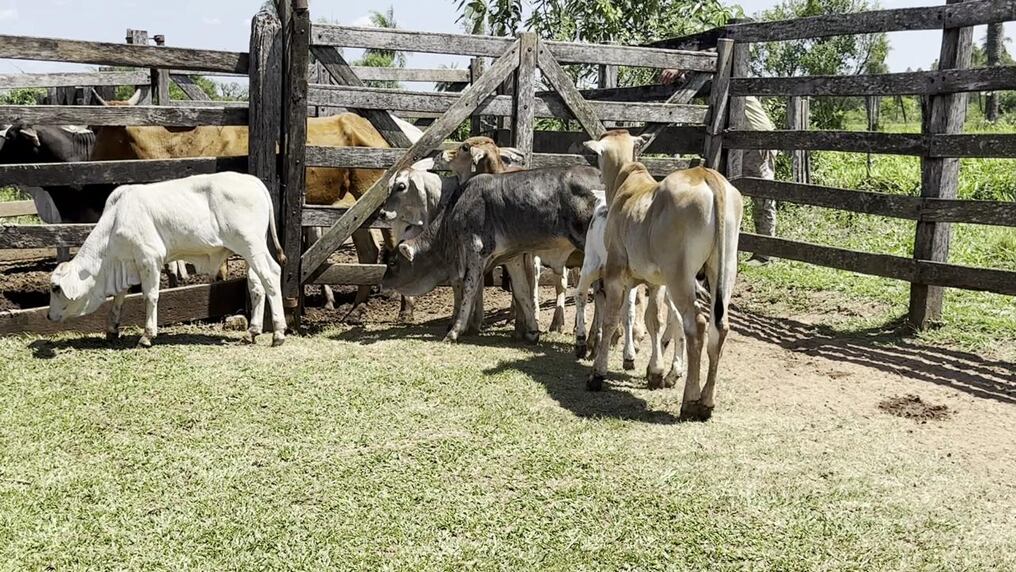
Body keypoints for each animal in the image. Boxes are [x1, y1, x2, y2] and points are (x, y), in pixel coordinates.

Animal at [46, 171, 286, 349]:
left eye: (56, 288)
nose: (48, 316)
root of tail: (254, 182)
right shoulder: (129, 263)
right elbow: (119, 297)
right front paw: (112, 329)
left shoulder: (150, 258)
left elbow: (150, 296)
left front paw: (147, 335)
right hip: (251, 251)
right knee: (257, 286)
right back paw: (252, 332)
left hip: (251, 245)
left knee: (271, 276)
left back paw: (279, 332)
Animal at [384, 165, 597, 345]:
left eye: (393, 262)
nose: (382, 285)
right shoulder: (512, 258)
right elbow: (522, 292)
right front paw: (532, 332)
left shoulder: (477, 250)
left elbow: (469, 290)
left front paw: (454, 331)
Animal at [585, 131, 743, 424]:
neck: (628, 182)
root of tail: (709, 176)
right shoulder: (657, 281)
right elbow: (654, 320)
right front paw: (655, 372)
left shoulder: (615, 272)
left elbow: (613, 319)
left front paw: (597, 374)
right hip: (724, 269)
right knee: (719, 326)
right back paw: (707, 401)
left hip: (680, 275)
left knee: (696, 325)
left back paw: (690, 401)